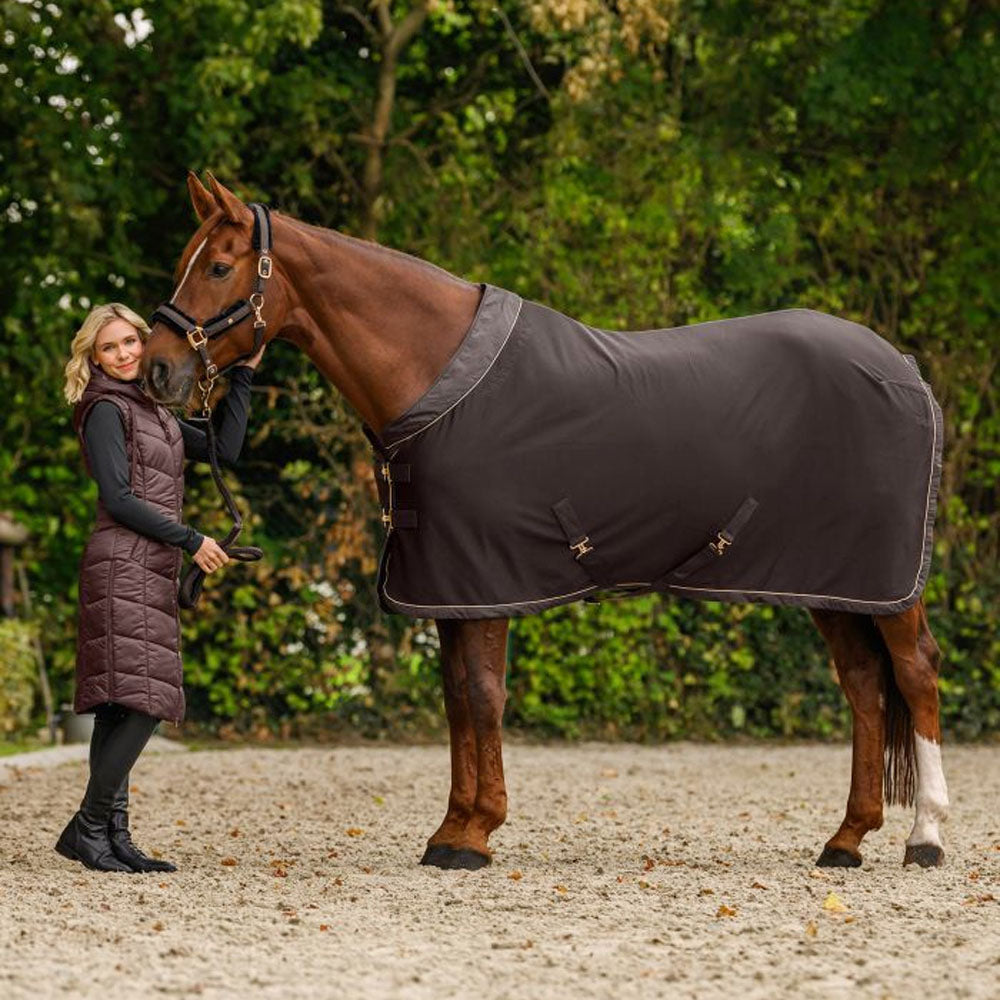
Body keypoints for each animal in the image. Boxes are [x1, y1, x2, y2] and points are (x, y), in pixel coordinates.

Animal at [140, 172, 949, 872]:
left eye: (218, 267)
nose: (157, 371)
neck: (437, 373)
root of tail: (905, 369)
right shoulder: (448, 586)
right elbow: (456, 698)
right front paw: (451, 829)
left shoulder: (486, 575)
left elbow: (483, 694)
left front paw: (475, 834)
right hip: (833, 585)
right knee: (864, 686)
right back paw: (847, 839)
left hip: (886, 586)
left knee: (915, 673)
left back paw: (926, 838)